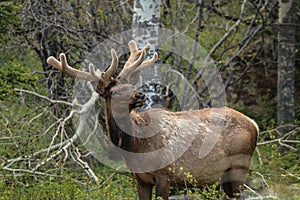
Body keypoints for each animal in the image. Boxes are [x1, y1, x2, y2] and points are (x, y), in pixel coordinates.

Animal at [47, 40, 258, 198]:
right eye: (113, 92)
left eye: (131, 86)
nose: (140, 95)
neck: (136, 147)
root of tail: (254, 125)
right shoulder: (140, 179)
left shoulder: (165, 174)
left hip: (239, 166)